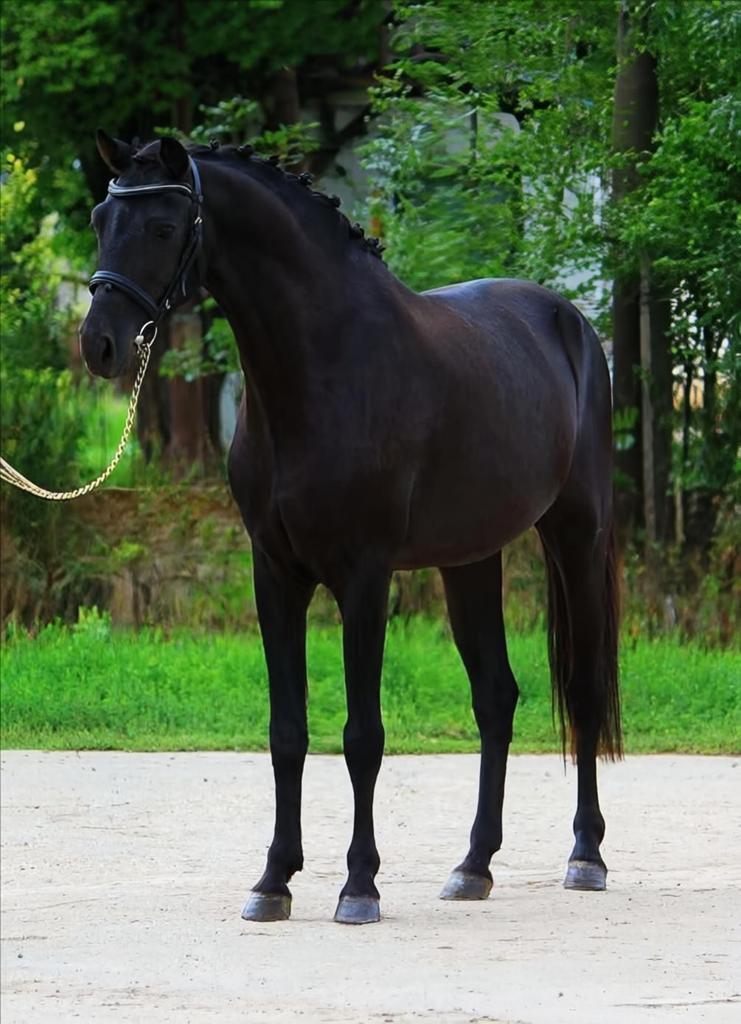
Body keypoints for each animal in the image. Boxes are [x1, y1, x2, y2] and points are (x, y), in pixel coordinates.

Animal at [80, 130, 621, 925]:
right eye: (99, 219)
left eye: (161, 226)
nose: (100, 344)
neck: (321, 369)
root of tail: (572, 323)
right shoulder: (275, 575)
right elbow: (287, 733)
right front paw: (273, 881)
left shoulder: (364, 578)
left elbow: (362, 737)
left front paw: (358, 885)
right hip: (470, 559)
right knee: (495, 698)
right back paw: (472, 866)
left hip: (576, 535)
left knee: (581, 690)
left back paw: (585, 855)